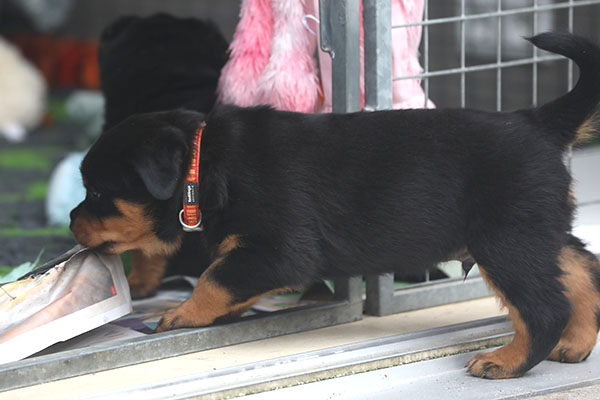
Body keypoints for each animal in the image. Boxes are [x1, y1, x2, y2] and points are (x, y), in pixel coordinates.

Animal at [70, 32, 600, 379]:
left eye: (95, 193)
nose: (73, 219)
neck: (205, 165)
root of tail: (536, 122)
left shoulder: (280, 249)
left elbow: (214, 277)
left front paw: (181, 314)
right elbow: (228, 279)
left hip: (504, 239)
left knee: (543, 306)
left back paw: (506, 361)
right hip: (537, 231)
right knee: (580, 270)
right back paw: (575, 344)